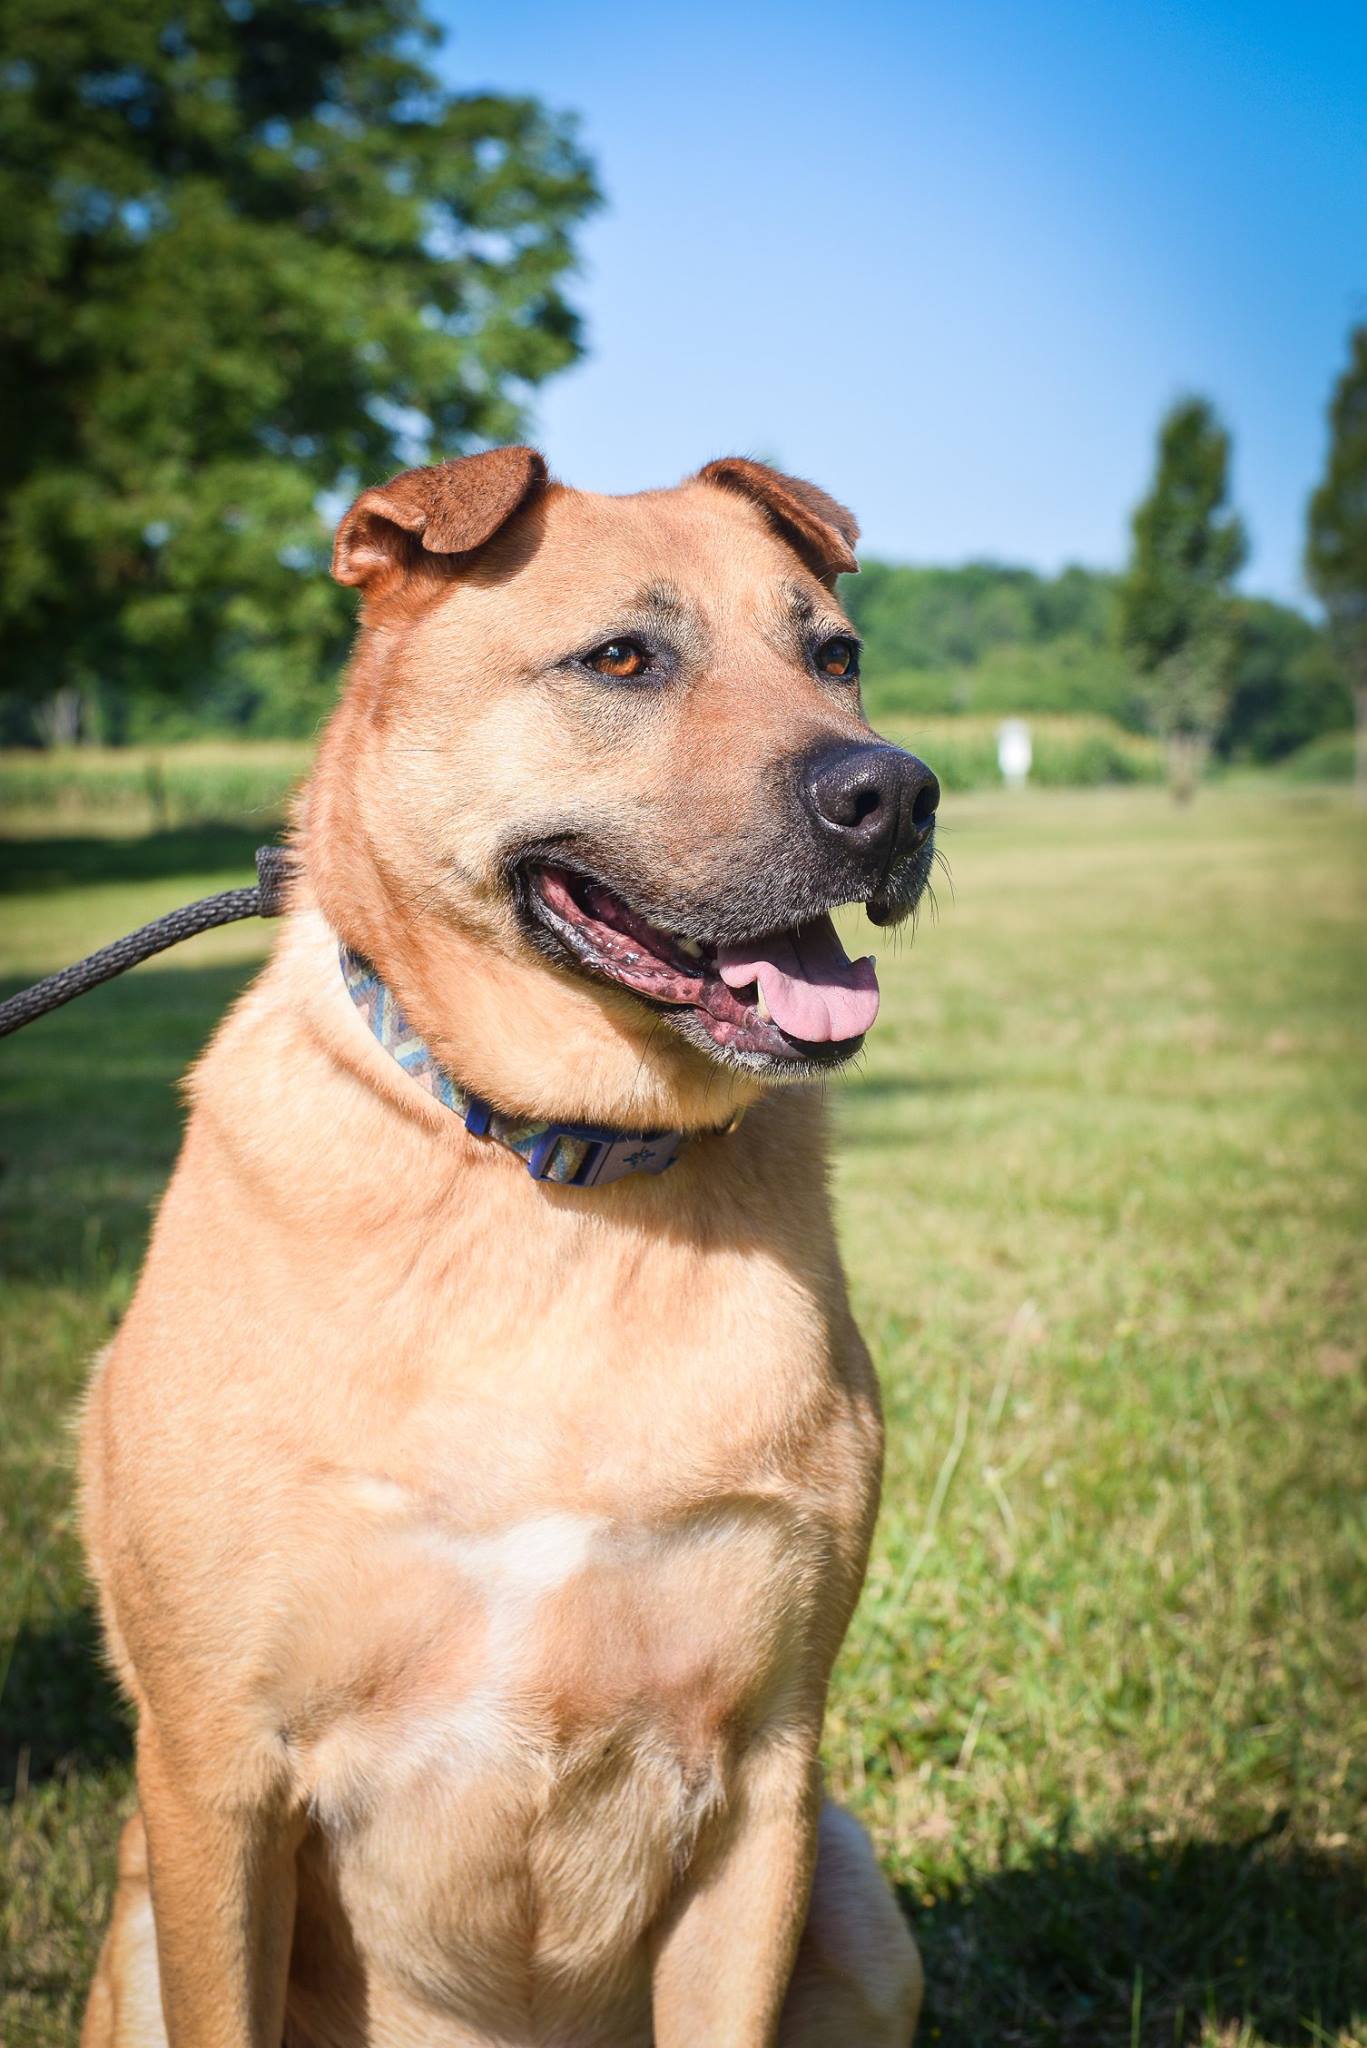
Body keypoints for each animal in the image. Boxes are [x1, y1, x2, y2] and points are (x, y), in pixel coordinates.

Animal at [77, 452, 942, 2048]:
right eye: (621, 659)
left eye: (835, 656)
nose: (896, 791)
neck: (556, 1171)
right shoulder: (215, 1769)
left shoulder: (766, 1776)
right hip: (145, 1916)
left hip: (858, 1905)